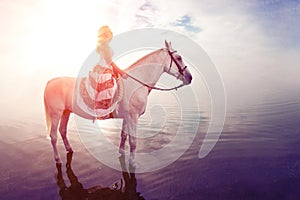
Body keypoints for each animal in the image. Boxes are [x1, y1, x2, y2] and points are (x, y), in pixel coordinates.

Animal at [43, 40, 192, 166]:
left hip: (66, 112)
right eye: (179, 58)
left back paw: (69, 149)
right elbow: (133, 141)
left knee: (62, 131)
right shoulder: (133, 116)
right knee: (54, 136)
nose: (190, 77)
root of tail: (51, 81)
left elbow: (124, 136)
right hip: (56, 114)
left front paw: (121, 153)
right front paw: (133, 163)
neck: (136, 83)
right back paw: (58, 159)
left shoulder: (127, 116)